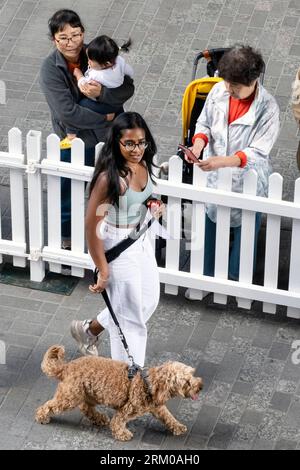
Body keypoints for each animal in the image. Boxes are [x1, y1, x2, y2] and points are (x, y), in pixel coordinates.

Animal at [35, 346, 204, 440]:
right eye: (186, 382)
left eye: (192, 374)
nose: (200, 386)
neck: (148, 384)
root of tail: (67, 367)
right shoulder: (127, 410)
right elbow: (117, 422)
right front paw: (122, 434)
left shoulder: (157, 407)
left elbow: (168, 417)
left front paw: (178, 427)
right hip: (69, 397)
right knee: (49, 406)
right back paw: (41, 417)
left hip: (90, 393)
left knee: (86, 408)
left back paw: (99, 418)